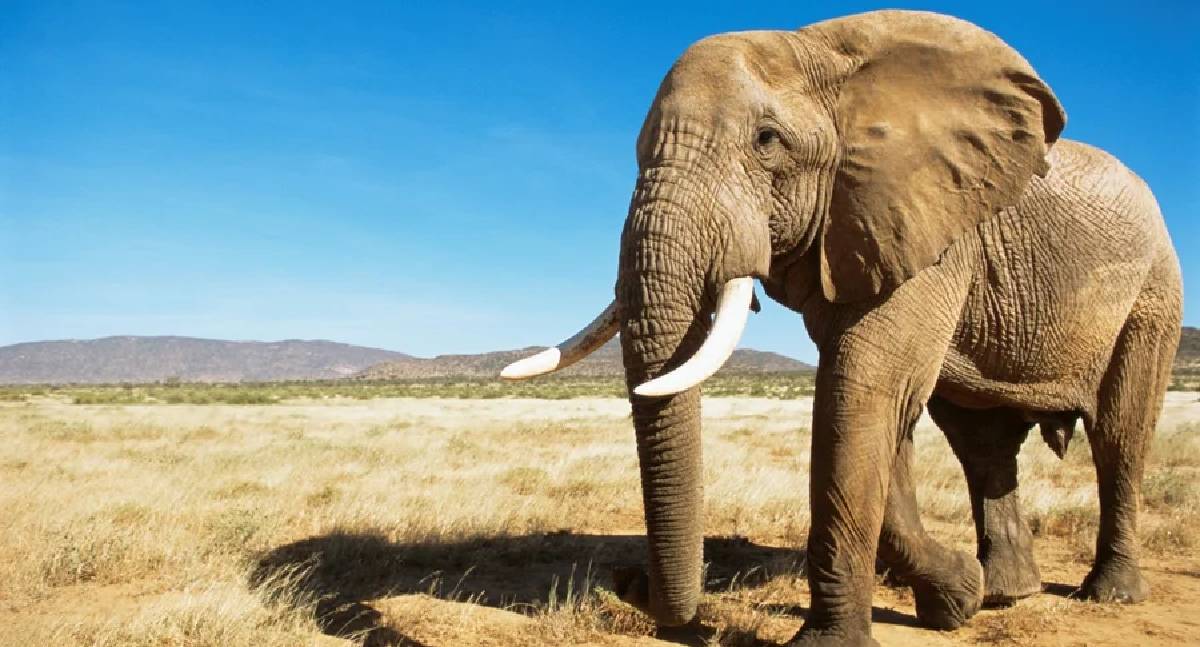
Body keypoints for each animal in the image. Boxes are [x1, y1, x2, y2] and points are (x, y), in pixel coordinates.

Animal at [500, 10, 1183, 646]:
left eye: (767, 140)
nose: (627, 582)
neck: (824, 50)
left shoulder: (926, 228)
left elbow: (861, 393)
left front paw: (843, 637)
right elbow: (879, 407)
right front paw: (955, 599)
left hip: (1153, 292)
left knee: (1119, 434)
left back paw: (1109, 594)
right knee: (982, 446)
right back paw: (1005, 594)